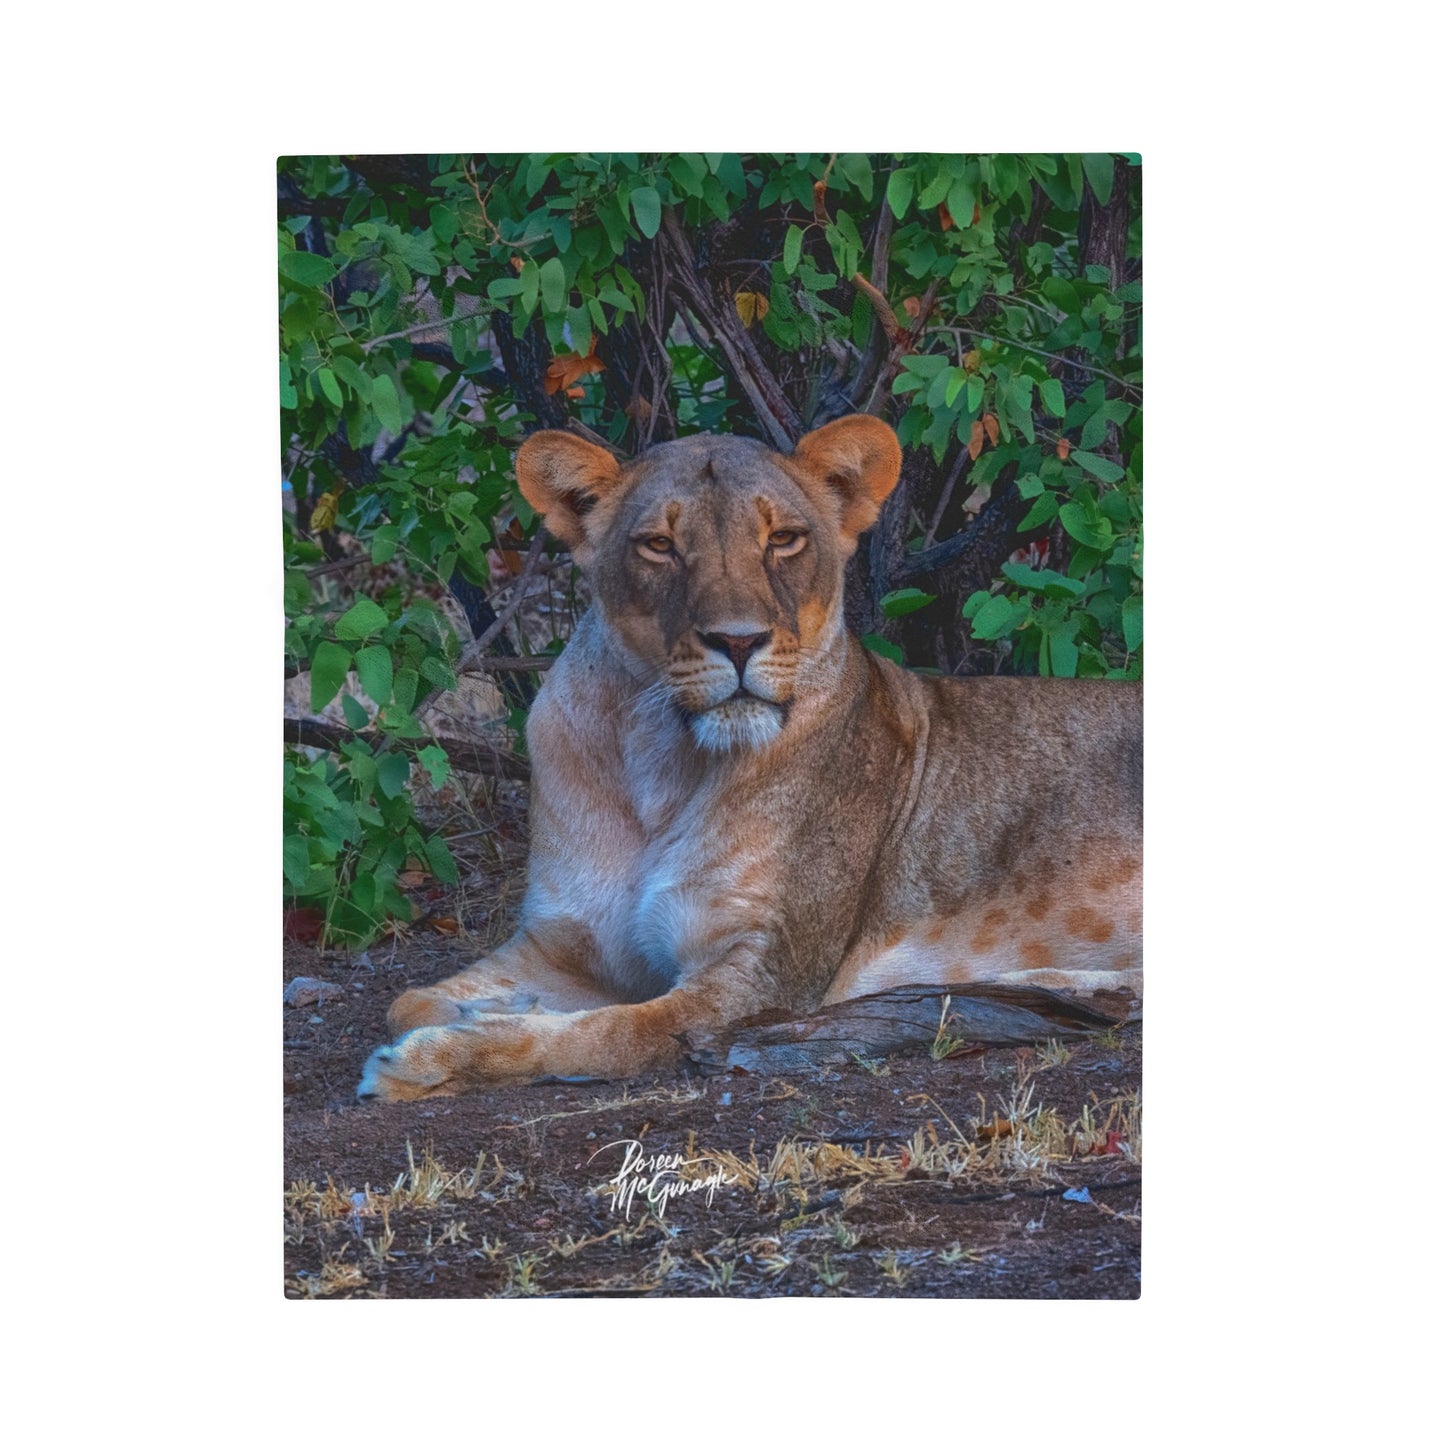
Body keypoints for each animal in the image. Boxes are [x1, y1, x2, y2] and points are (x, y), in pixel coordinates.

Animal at [358, 416, 1141, 1102]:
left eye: (784, 539)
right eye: (659, 545)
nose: (737, 641)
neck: (660, 760)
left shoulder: (760, 976)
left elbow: (606, 1034)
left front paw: (431, 1062)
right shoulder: (562, 944)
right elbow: (407, 1000)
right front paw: (473, 1017)